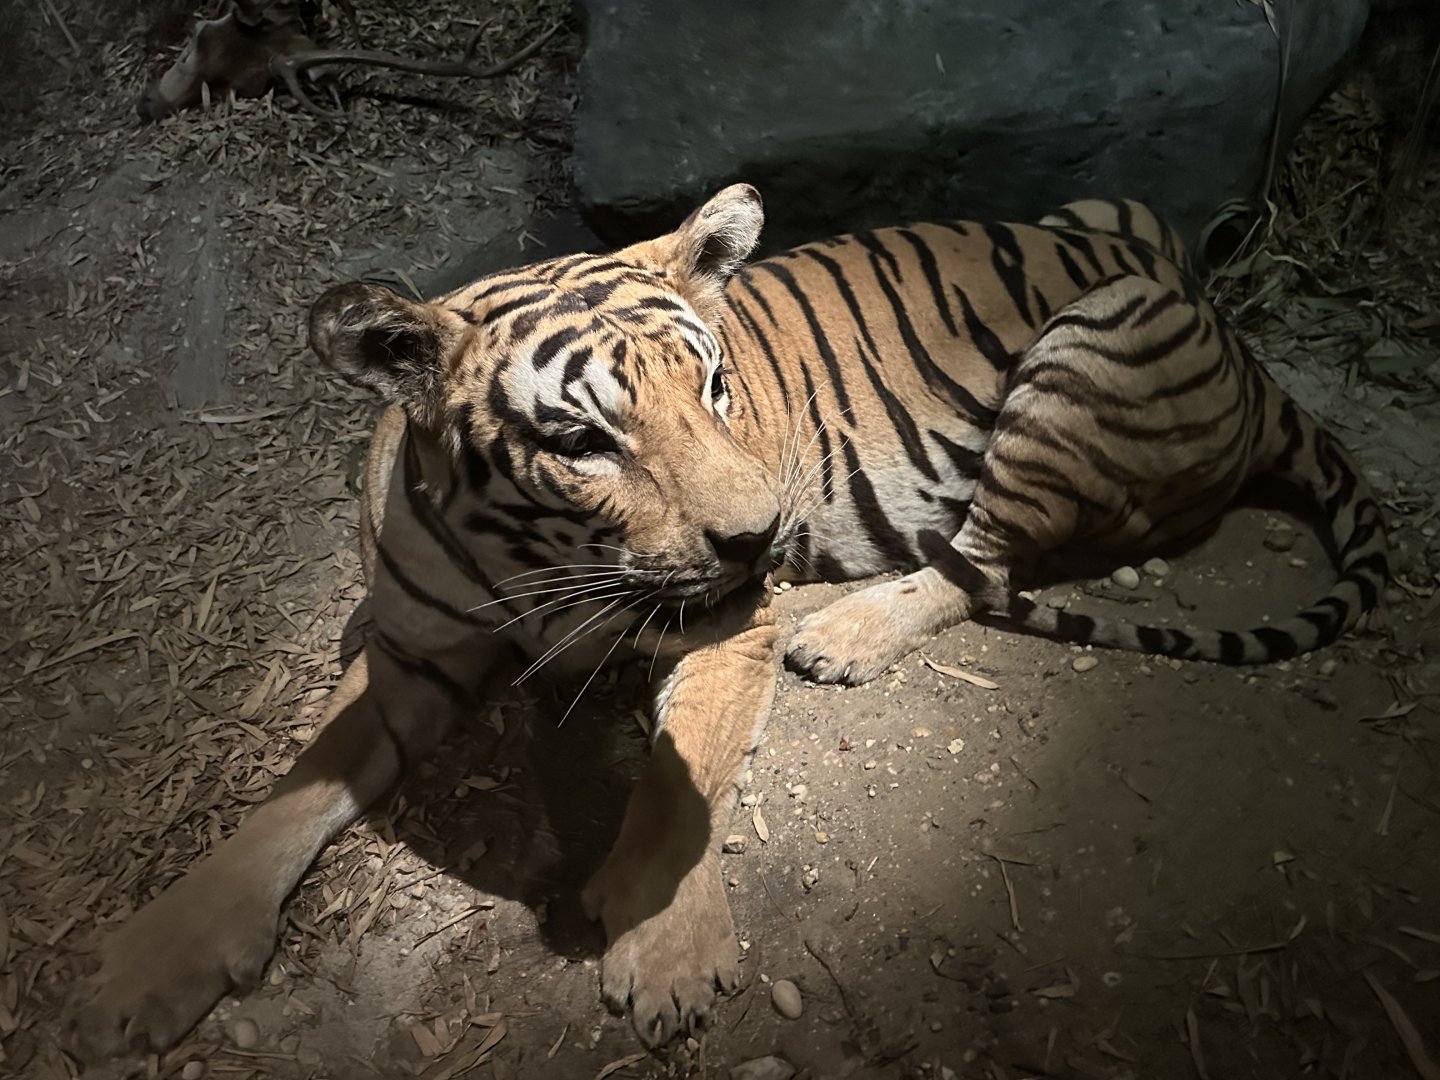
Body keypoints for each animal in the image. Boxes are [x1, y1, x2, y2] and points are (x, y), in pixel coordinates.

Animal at [67, 183, 1387, 1058]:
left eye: (712, 385)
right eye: (580, 439)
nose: (763, 538)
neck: (535, 563)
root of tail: (1245, 349)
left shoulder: (721, 630)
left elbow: (680, 776)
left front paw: (664, 951)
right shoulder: (410, 651)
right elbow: (297, 787)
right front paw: (155, 957)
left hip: (1084, 349)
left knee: (982, 557)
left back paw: (843, 633)